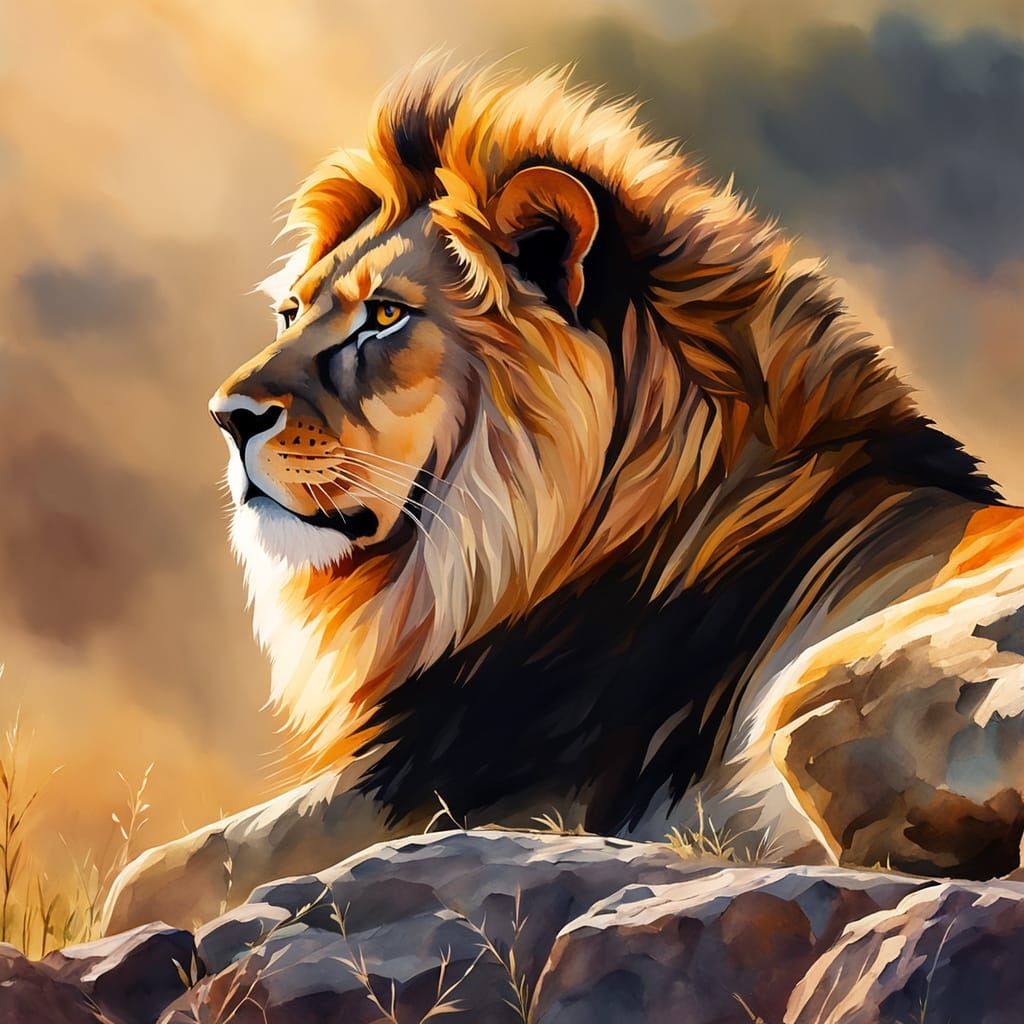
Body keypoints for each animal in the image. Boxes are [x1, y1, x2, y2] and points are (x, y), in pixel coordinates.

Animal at [105, 61, 1024, 932]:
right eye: (291, 312)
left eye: (386, 317)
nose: (228, 417)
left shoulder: (444, 783)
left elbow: (151, 877)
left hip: (813, 691)